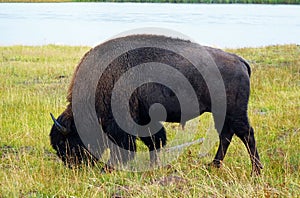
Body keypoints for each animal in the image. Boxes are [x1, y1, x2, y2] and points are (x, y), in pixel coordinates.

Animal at [49, 34, 262, 175]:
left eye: (67, 143)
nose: (74, 167)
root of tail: (239, 60)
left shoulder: (122, 123)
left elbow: (129, 145)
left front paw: (109, 167)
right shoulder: (144, 118)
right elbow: (155, 140)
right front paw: (153, 165)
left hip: (235, 112)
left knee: (246, 135)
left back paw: (256, 171)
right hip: (222, 113)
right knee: (226, 135)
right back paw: (214, 165)